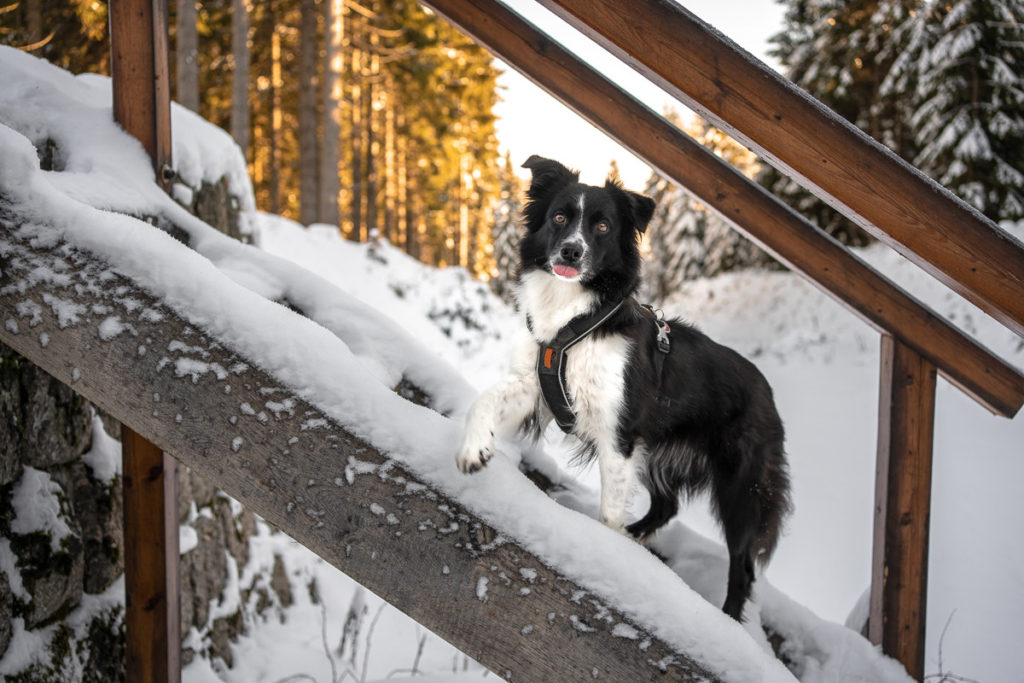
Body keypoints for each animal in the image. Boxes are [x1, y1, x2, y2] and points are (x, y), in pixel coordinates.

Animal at [456, 156, 790, 618]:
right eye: (559, 217)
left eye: (602, 226)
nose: (571, 251)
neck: (574, 317)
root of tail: (768, 391)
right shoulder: (536, 386)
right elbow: (484, 400)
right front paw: (476, 448)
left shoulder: (618, 435)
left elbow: (609, 510)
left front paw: (606, 556)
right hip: (658, 453)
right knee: (667, 506)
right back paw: (635, 537)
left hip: (741, 488)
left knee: (742, 566)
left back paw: (727, 618)